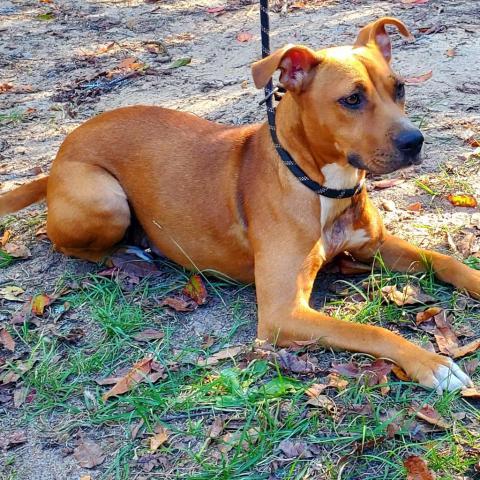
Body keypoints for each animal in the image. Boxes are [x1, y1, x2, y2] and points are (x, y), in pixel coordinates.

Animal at [1, 17, 476, 394]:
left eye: (399, 89)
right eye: (352, 99)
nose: (415, 142)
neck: (322, 187)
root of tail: (59, 157)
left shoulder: (374, 246)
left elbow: (445, 260)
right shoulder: (284, 314)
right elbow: (371, 329)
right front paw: (431, 363)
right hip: (104, 198)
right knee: (67, 244)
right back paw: (132, 253)